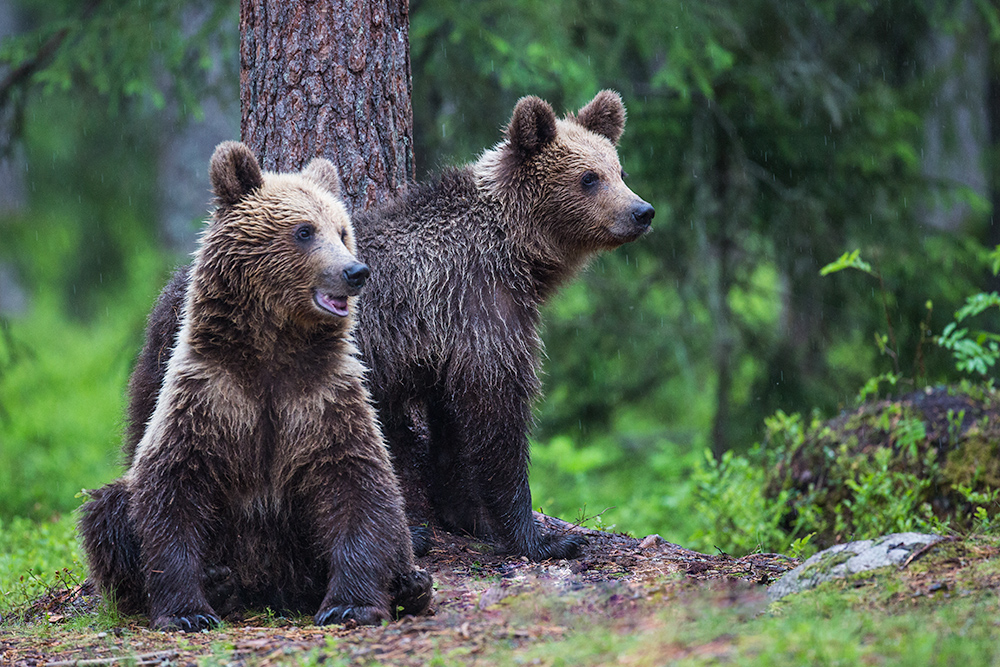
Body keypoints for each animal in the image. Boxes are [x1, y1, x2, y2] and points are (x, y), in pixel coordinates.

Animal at [80, 141, 432, 632]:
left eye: (343, 231)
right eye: (304, 231)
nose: (355, 271)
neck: (272, 348)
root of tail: (265, 586)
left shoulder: (320, 395)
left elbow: (358, 484)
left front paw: (351, 604)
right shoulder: (211, 392)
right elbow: (171, 486)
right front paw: (187, 611)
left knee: (397, 522)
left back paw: (409, 584)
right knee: (108, 510)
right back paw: (219, 585)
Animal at [119, 91, 648, 564]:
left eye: (619, 171)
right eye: (588, 177)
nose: (642, 211)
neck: (515, 252)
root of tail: (178, 288)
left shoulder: (450, 334)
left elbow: (453, 425)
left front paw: (465, 513)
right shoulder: (480, 307)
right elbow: (495, 415)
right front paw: (543, 538)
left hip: (165, 365)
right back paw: (409, 535)